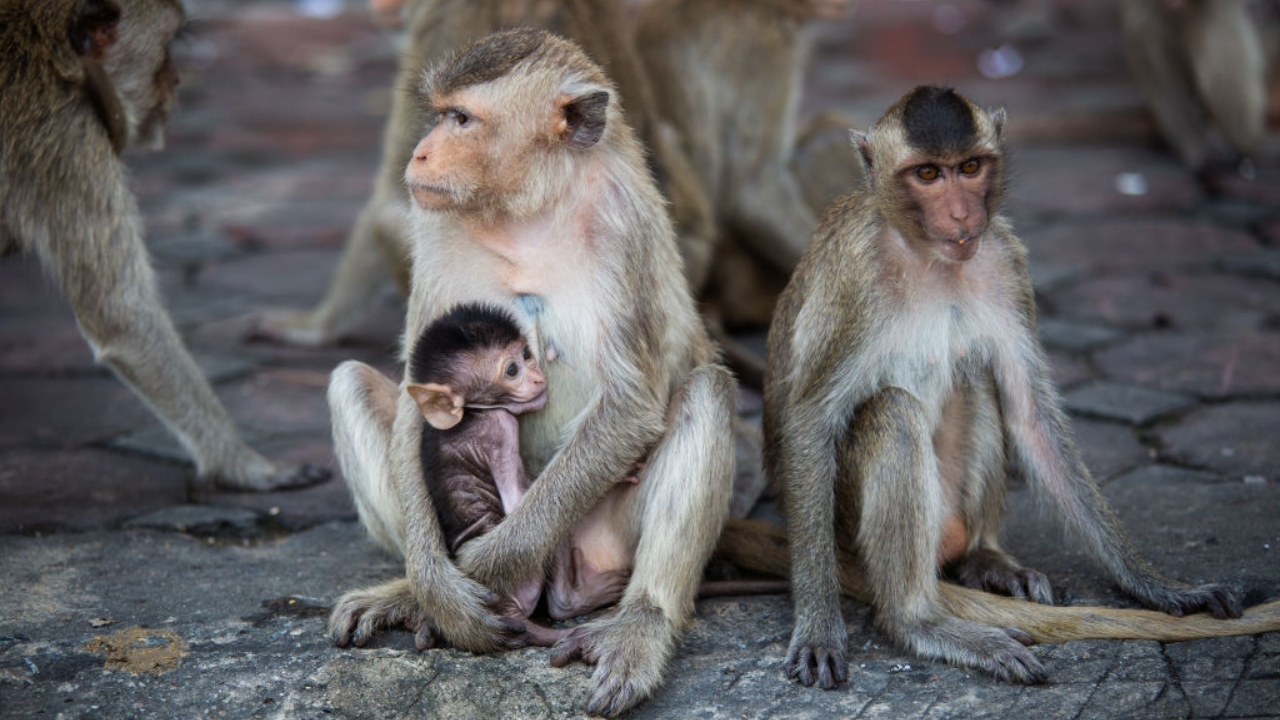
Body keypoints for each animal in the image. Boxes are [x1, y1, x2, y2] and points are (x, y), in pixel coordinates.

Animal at [0, 0, 327, 491]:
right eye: (168, 46)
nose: (177, 80)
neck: (59, 63)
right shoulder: (67, 140)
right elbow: (121, 317)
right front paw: (243, 465)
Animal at [324, 30, 736, 716]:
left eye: (462, 119)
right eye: (441, 114)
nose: (422, 152)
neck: (530, 207)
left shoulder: (625, 226)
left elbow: (630, 404)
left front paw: (486, 565)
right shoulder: (432, 221)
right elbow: (415, 398)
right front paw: (435, 585)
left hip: (602, 540)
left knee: (709, 390)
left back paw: (641, 625)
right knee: (347, 380)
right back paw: (409, 593)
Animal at [760, 85, 1242, 690]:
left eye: (969, 167)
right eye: (927, 174)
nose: (962, 212)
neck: (927, 256)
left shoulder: (1005, 259)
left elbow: (1030, 414)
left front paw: (1155, 584)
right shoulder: (854, 279)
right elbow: (809, 422)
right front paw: (819, 624)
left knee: (976, 380)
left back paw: (983, 558)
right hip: (846, 528)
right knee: (890, 413)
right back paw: (918, 620)